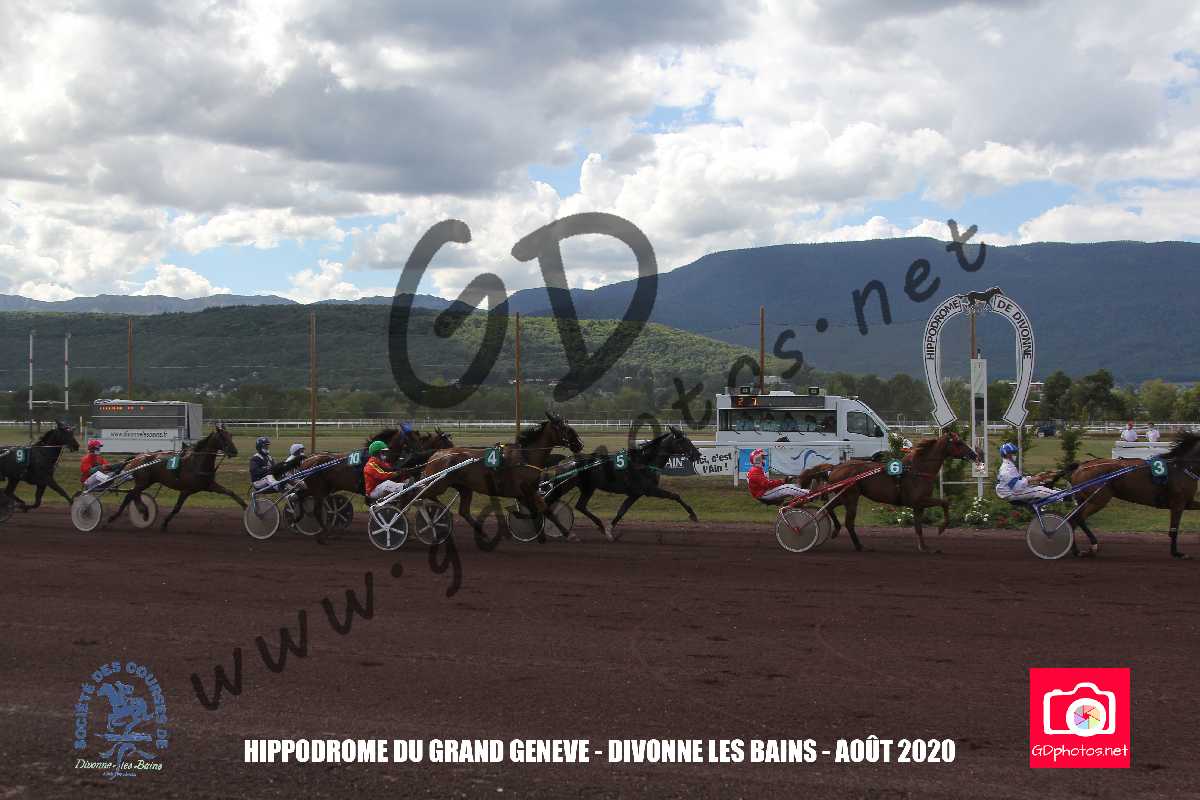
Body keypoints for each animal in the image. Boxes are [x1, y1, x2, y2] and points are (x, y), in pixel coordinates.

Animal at [106, 425, 242, 531]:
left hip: (146, 482)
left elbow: (231, 492)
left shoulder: (208, 485)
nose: (234, 452)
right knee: (131, 494)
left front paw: (245, 507)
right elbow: (177, 507)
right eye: (223, 437)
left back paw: (138, 512)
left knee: (133, 494)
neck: (196, 462)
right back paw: (129, 514)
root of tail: (138, 456)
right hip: (143, 482)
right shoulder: (186, 490)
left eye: (231, 435)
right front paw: (164, 523)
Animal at [418, 412, 584, 540]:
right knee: (420, 495)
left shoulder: (526, 492)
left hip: (464, 487)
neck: (526, 456)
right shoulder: (527, 489)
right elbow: (541, 510)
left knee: (462, 511)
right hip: (438, 484)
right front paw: (567, 533)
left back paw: (479, 531)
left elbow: (538, 511)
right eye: (566, 429)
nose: (580, 444)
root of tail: (436, 455)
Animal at [542, 425, 703, 542]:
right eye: (684, 441)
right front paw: (693, 515)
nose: (698, 454)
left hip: (588, 487)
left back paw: (598, 526)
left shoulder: (635, 493)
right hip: (565, 485)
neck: (643, 462)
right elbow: (675, 495)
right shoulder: (649, 490)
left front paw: (609, 531)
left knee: (580, 506)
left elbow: (621, 511)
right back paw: (566, 533)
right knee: (548, 504)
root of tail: (565, 461)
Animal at [817, 431, 979, 553]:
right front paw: (941, 528)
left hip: (843, 496)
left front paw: (924, 547)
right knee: (849, 522)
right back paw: (859, 546)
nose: (974, 455)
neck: (918, 470)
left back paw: (836, 530)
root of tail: (835, 468)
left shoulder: (918, 506)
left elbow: (918, 527)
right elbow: (945, 502)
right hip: (851, 498)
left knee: (827, 507)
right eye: (959, 443)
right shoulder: (919, 500)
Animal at [1067, 432, 1200, 559]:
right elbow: (1174, 529)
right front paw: (1177, 553)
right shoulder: (1178, 502)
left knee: (1072, 520)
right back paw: (1092, 546)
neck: (1182, 467)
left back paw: (1076, 550)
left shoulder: (1187, 503)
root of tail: (1080, 467)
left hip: (1084, 500)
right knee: (1079, 518)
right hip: (1098, 500)